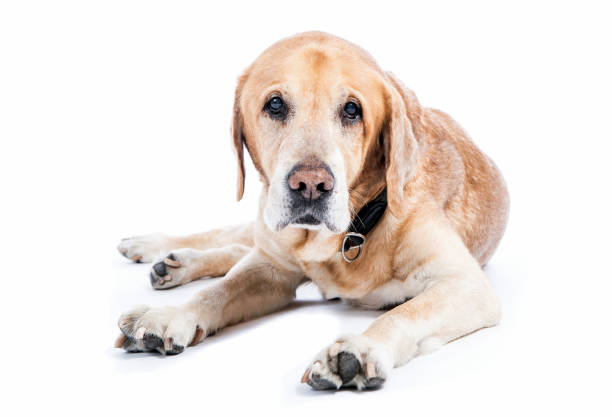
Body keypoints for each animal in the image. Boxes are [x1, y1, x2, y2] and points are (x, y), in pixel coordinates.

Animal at [113, 30, 506, 390]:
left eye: (352, 110)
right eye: (275, 105)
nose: (311, 185)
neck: (350, 236)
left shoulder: (465, 283)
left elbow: (404, 313)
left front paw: (360, 348)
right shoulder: (271, 268)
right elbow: (219, 290)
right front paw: (171, 315)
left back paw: (173, 263)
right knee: (229, 239)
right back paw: (157, 249)